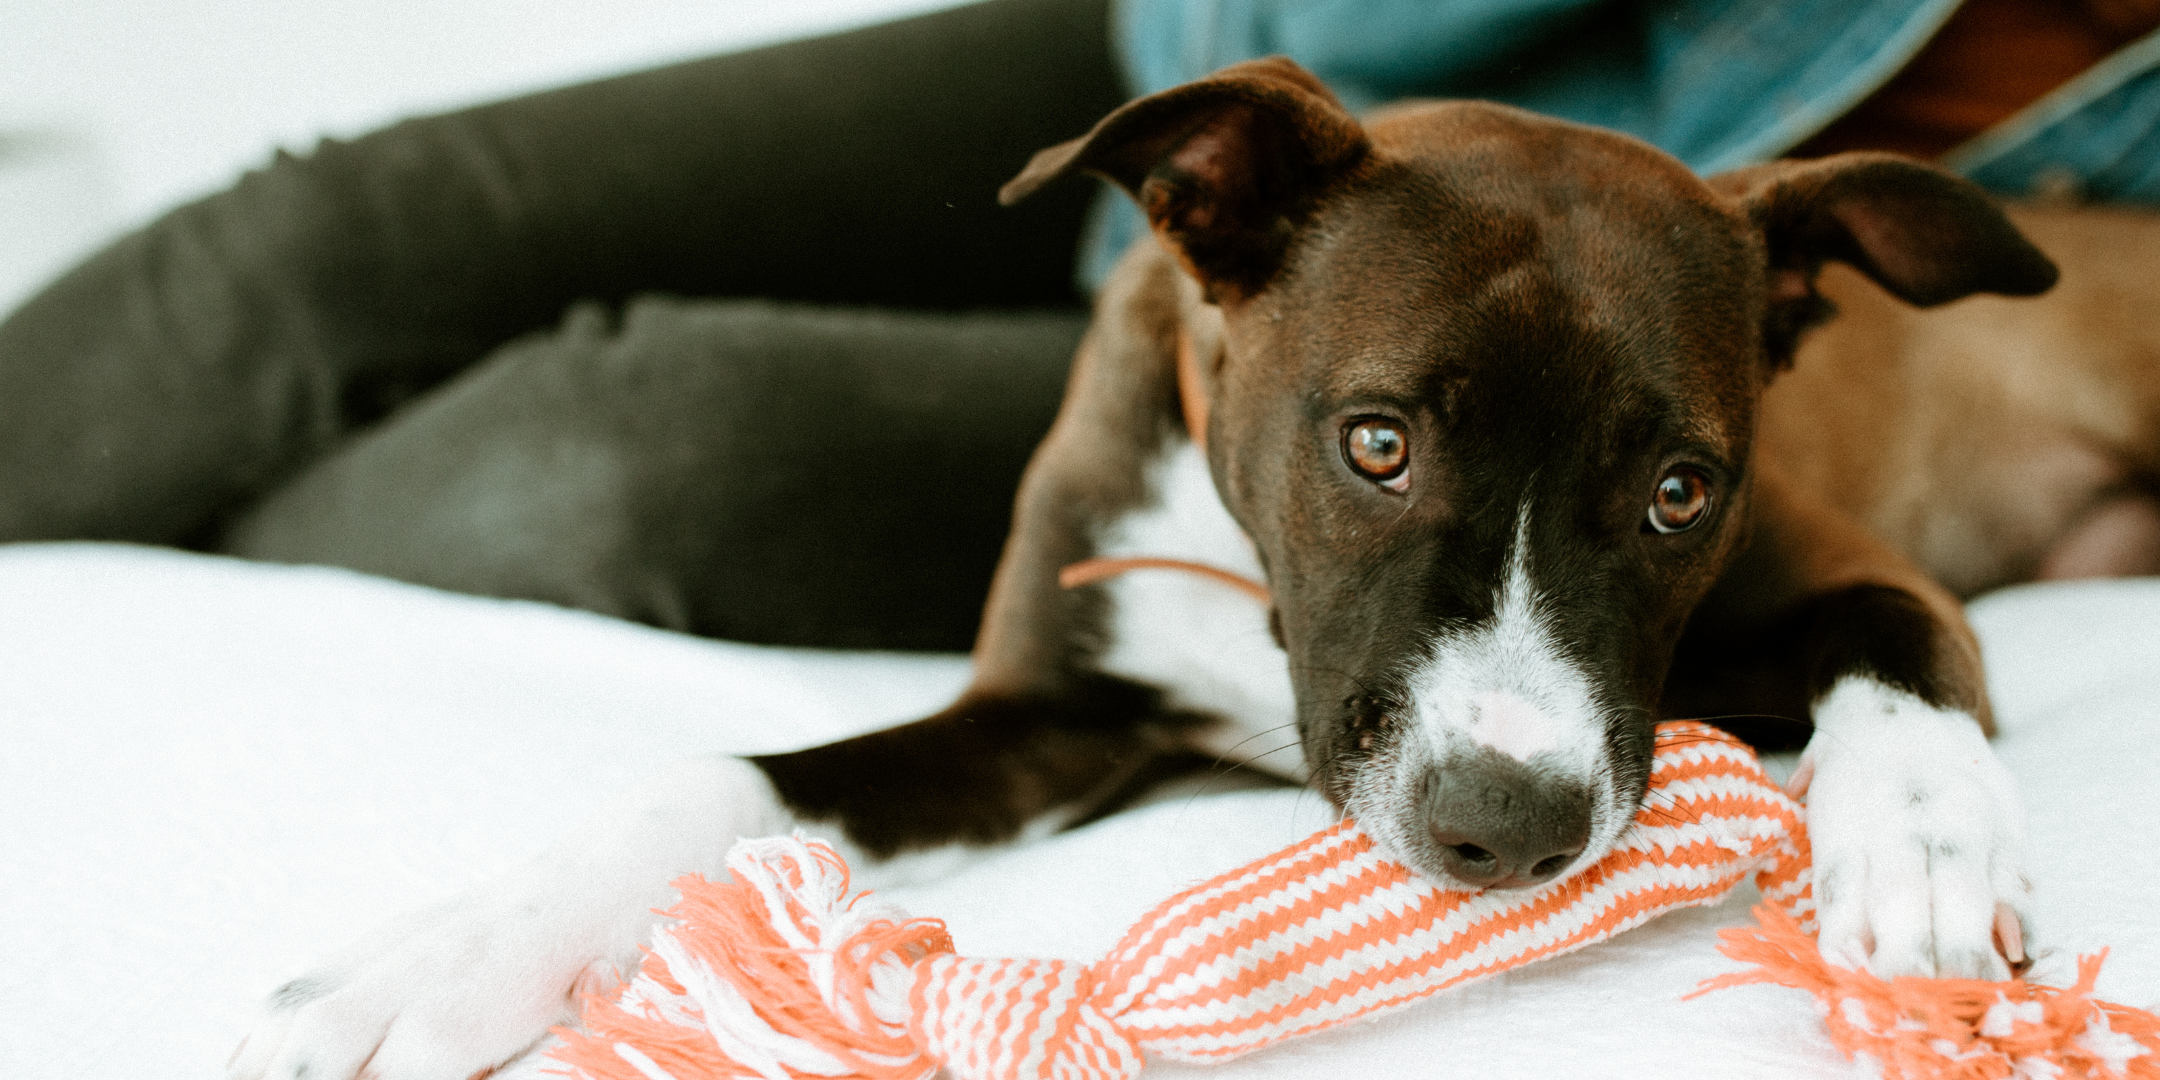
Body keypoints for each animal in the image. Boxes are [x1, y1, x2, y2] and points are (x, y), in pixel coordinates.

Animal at [227, 56, 2151, 1080]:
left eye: (1684, 492)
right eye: (1374, 444)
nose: (1506, 830)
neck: (1250, 588)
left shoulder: (1854, 574)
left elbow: (1904, 663)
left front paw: (1917, 863)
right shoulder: (1039, 718)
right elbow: (723, 779)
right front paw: (440, 958)